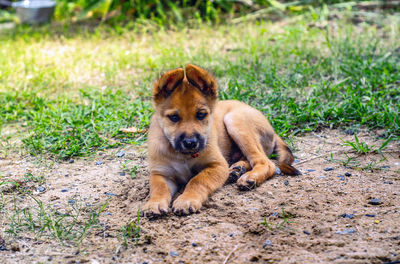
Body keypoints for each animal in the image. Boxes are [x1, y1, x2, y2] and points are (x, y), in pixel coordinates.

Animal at [142, 63, 298, 217]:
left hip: (234, 120)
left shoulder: (217, 165)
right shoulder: (161, 173)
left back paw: (250, 176)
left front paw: (187, 199)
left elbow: (197, 180)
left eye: (201, 114)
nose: (190, 143)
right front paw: (154, 203)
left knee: (265, 162)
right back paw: (236, 169)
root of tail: (272, 130)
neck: (183, 156)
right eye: (174, 117)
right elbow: (159, 188)